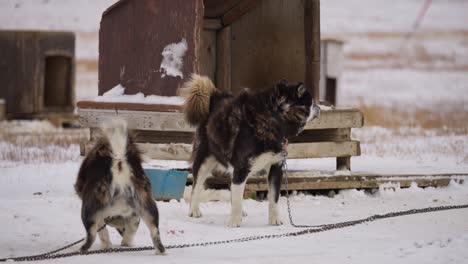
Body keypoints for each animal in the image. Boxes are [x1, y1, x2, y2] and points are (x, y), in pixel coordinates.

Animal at [74, 119, 165, 254]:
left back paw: (81, 249)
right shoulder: (134, 215)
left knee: (91, 235)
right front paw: (126, 243)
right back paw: (161, 251)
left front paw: (107, 245)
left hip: (89, 208)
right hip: (148, 206)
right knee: (155, 231)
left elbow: (102, 232)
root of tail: (119, 160)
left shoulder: (101, 215)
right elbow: (131, 231)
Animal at [178, 74, 318, 227]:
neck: (273, 118)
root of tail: (215, 98)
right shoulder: (242, 167)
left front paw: (274, 220)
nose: (319, 107)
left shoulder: (275, 167)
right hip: (205, 161)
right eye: (311, 103)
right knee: (196, 187)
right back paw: (194, 210)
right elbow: (237, 199)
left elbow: (273, 198)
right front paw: (234, 222)